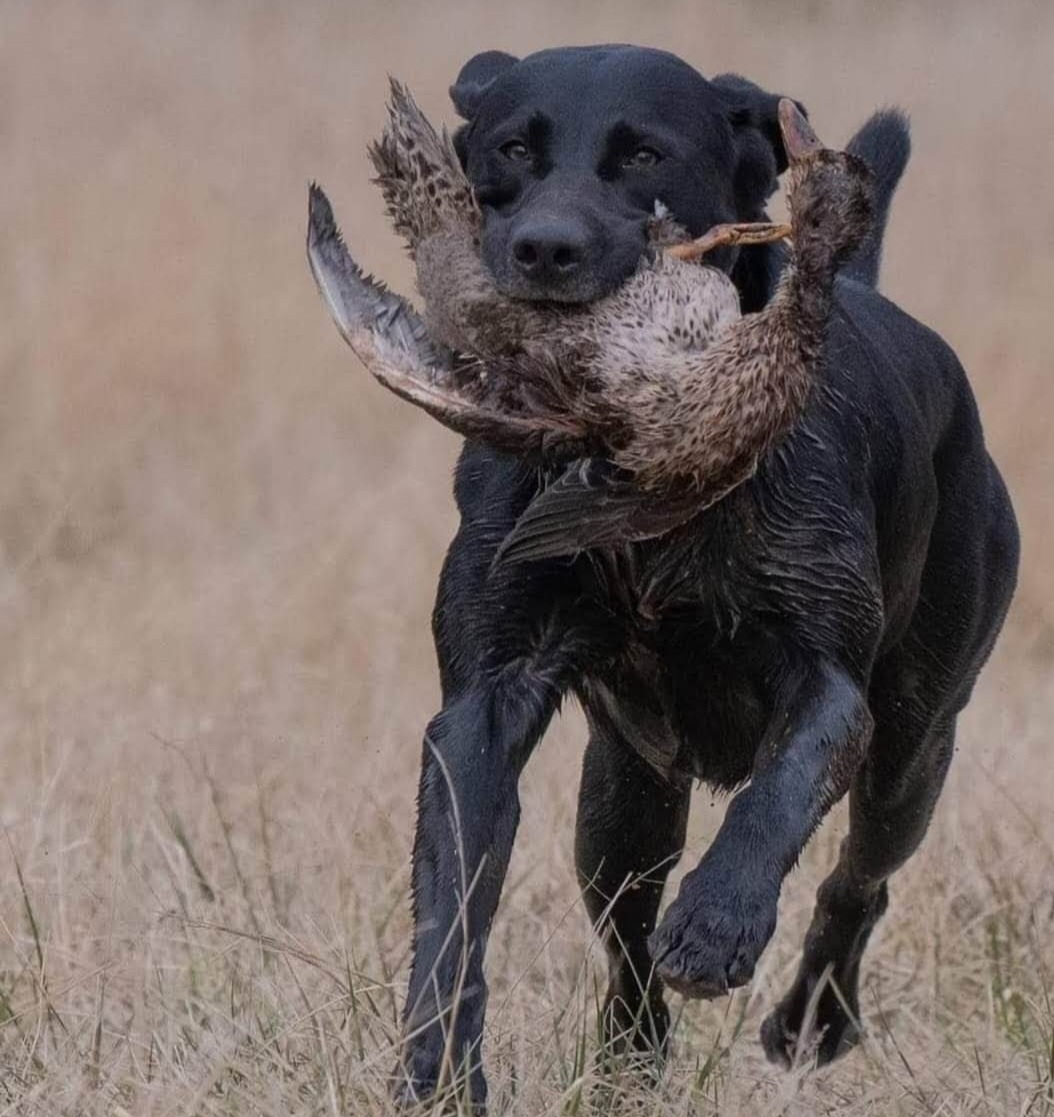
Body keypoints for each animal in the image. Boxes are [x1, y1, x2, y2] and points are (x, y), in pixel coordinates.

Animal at [393, 45, 1013, 1108]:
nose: (545, 249)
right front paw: (436, 1063)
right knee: (626, 937)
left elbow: (779, 795)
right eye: (513, 147)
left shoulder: (829, 684)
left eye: (646, 154)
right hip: (624, 802)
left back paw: (809, 1022)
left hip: (913, 747)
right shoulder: (484, 697)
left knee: (857, 879)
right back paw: (631, 1060)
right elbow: (455, 898)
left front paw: (720, 923)